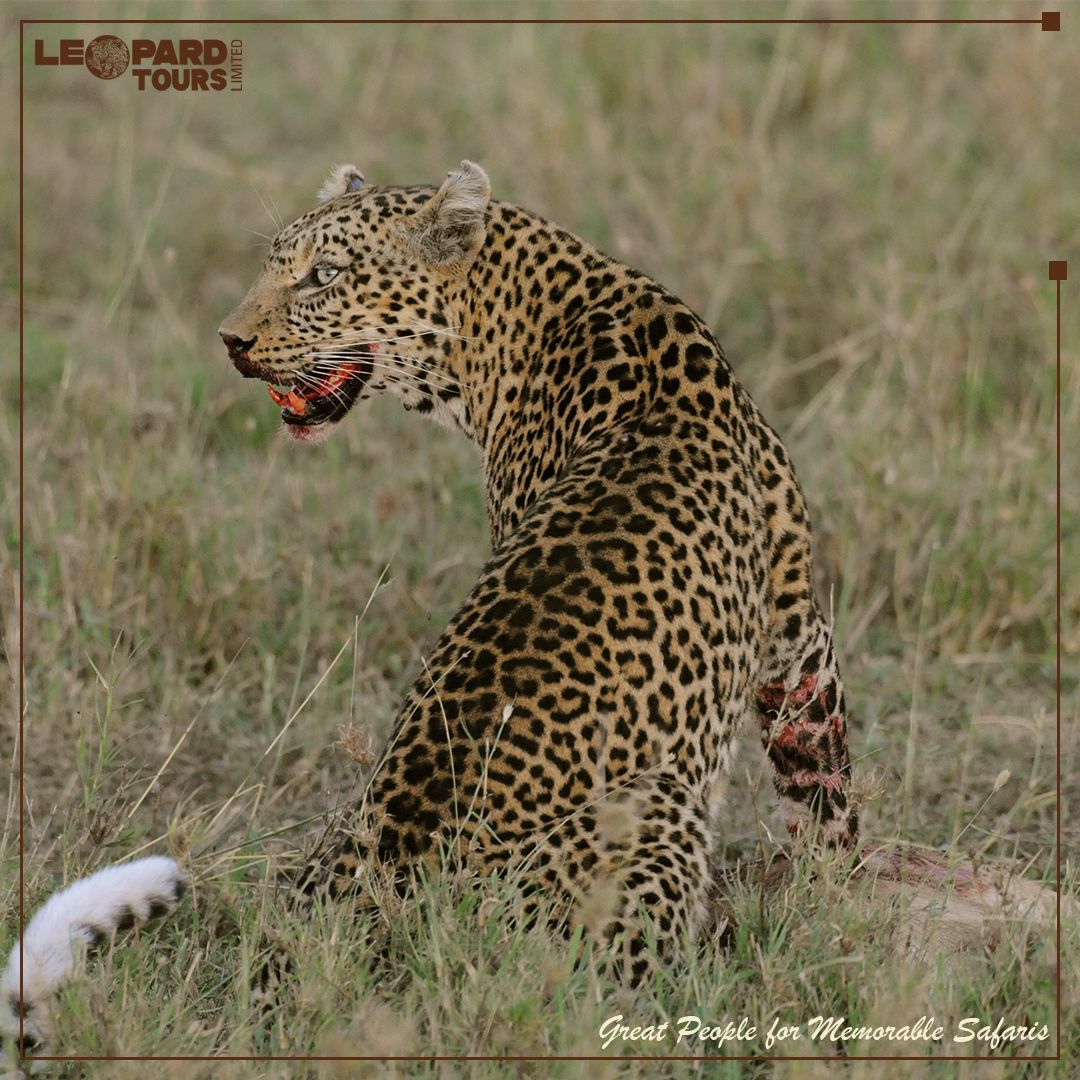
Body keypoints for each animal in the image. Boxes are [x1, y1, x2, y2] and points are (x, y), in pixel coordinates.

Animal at [3, 160, 857, 1061]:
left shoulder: (797, 633)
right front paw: (832, 907)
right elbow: (822, 784)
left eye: (323, 275)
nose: (230, 340)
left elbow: (822, 788)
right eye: (274, 265)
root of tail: (364, 916)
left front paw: (833, 902)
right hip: (653, 808)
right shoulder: (797, 636)